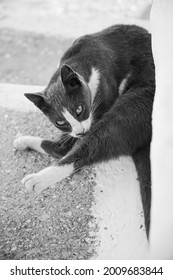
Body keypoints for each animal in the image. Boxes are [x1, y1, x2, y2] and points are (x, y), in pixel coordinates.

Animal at [14, 25, 155, 237]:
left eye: (79, 109)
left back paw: (38, 179)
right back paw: (24, 142)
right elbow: (66, 141)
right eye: (60, 122)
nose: (80, 131)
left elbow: (70, 145)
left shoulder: (106, 92)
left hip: (137, 103)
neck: (82, 60)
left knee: (83, 147)